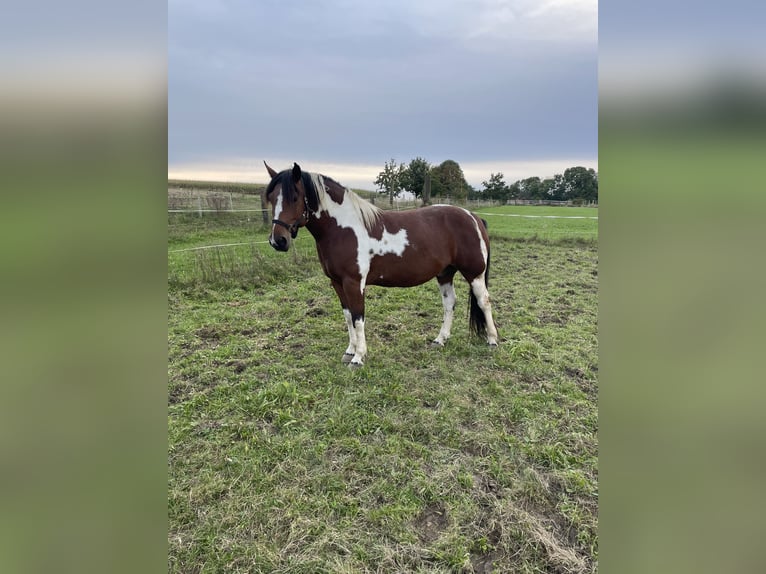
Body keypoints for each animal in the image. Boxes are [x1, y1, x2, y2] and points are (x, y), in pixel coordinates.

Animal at [268, 162, 500, 368]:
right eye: (270, 198)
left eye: (295, 197)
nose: (277, 241)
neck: (342, 229)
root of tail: (473, 217)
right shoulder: (337, 283)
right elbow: (348, 317)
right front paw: (349, 351)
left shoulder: (354, 283)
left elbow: (358, 317)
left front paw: (358, 358)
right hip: (445, 273)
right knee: (449, 303)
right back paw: (440, 340)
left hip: (474, 274)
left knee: (484, 302)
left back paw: (492, 341)